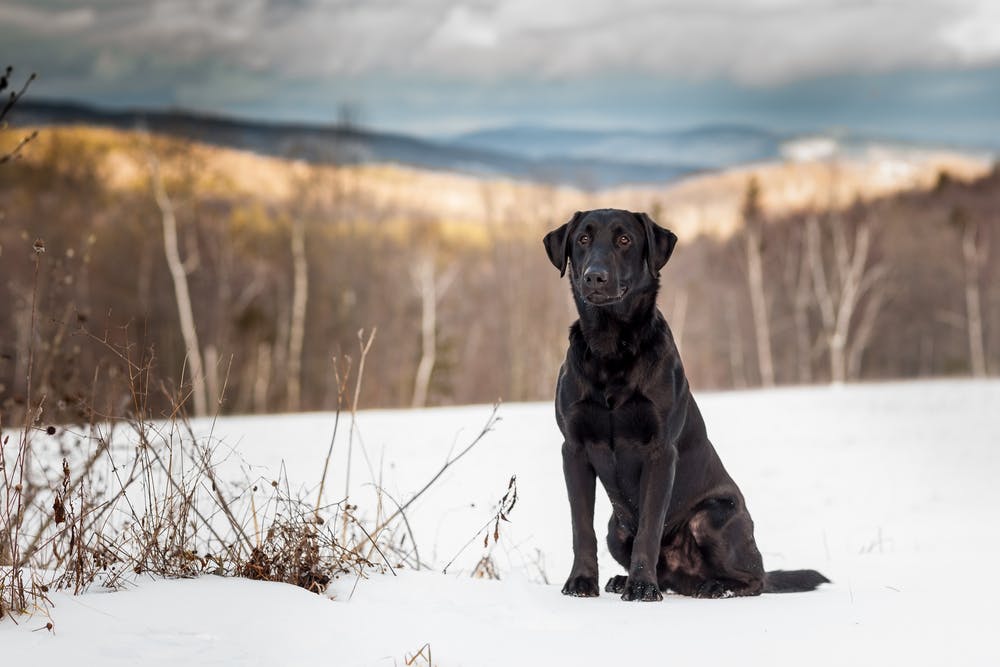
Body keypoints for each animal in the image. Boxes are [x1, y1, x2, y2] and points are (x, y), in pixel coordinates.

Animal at [548, 207, 828, 600]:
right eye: (583, 239)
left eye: (624, 239)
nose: (595, 277)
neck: (610, 347)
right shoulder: (573, 449)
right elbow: (580, 527)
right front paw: (581, 582)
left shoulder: (660, 451)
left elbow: (649, 528)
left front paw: (642, 587)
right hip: (616, 529)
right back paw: (628, 580)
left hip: (712, 516)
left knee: (755, 580)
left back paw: (714, 586)